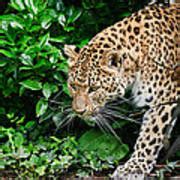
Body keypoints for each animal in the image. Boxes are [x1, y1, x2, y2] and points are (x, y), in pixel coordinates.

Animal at [64, 2, 179, 179]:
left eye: (93, 89)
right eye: (73, 86)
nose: (79, 111)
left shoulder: (164, 97)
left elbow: (150, 134)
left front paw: (135, 167)